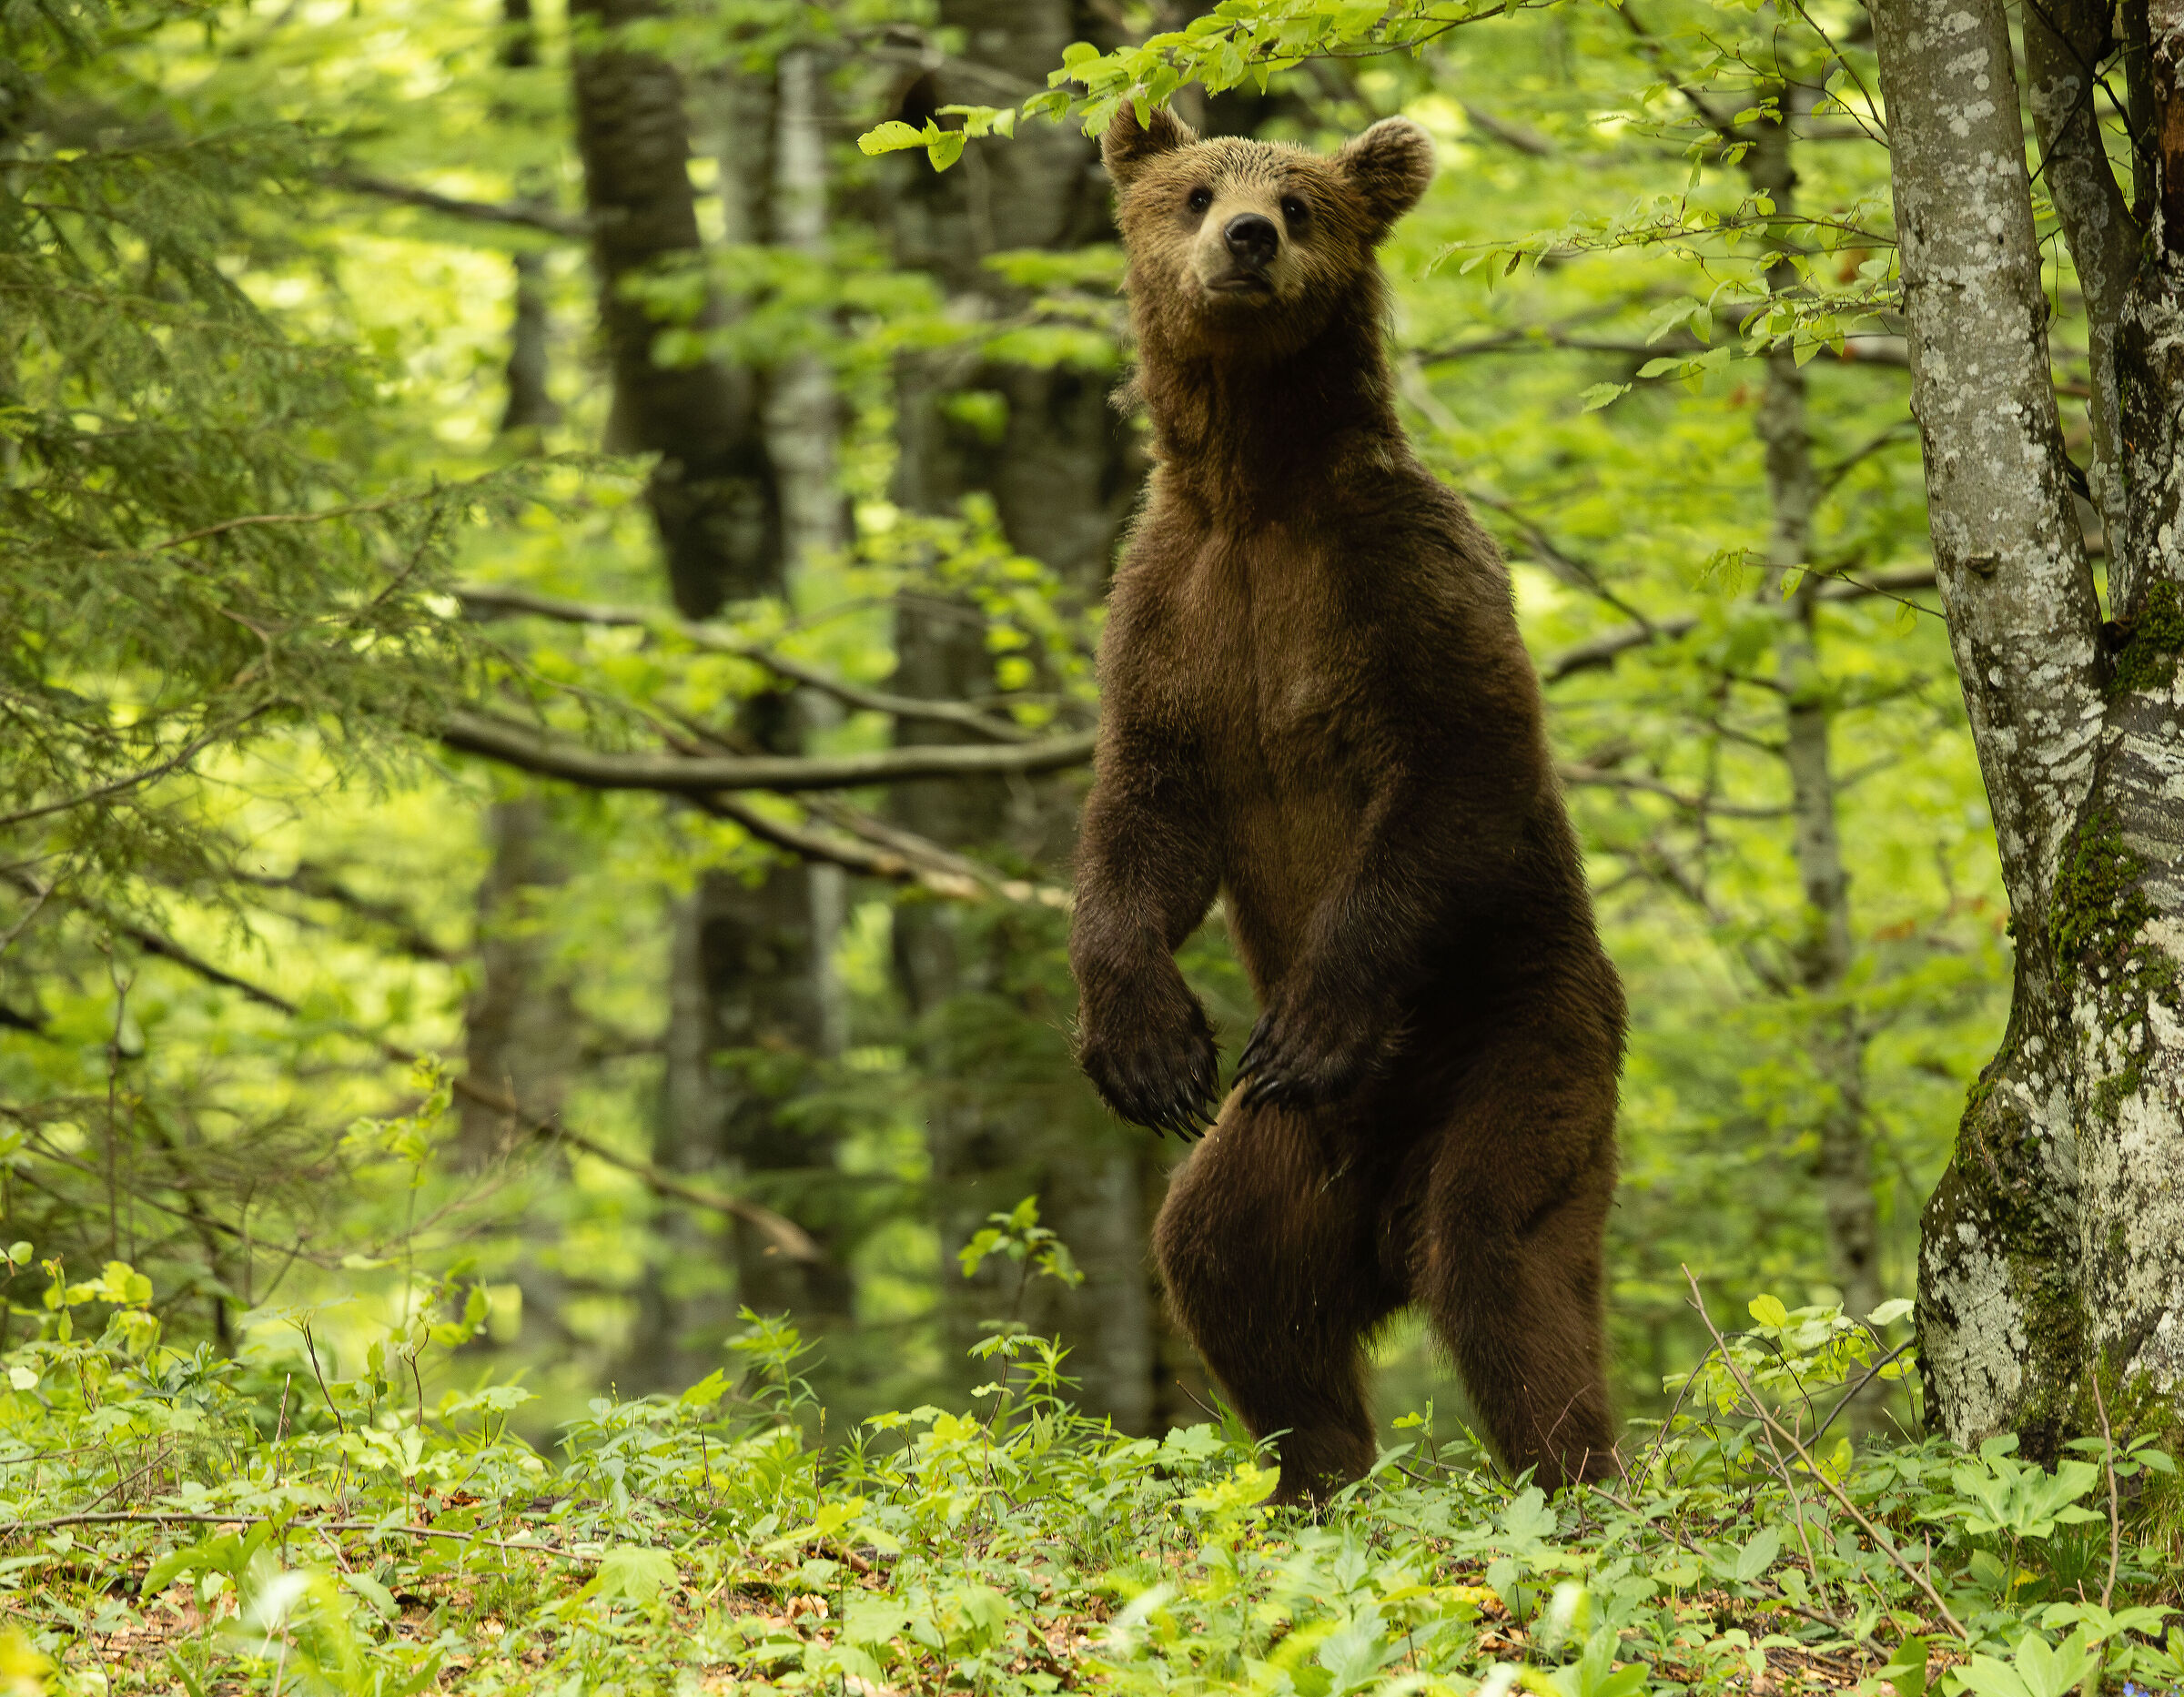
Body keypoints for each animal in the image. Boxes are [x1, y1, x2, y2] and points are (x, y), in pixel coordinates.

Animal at [1067, 103, 1628, 1505]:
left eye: (1304, 203)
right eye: (1194, 190)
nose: (1247, 239)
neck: (1256, 493)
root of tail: (1380, 1208)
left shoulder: (1407, 577)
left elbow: (1454, 775)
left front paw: (1315, 1013)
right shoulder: (1168, 607)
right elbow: (1142, 814)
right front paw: (1145, 1047)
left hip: (1526, 1042)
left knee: (1503, 1257)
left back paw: (1579, 1475)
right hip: (1289, 1157)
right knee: (1226, 1261)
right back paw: (1314, 1469)